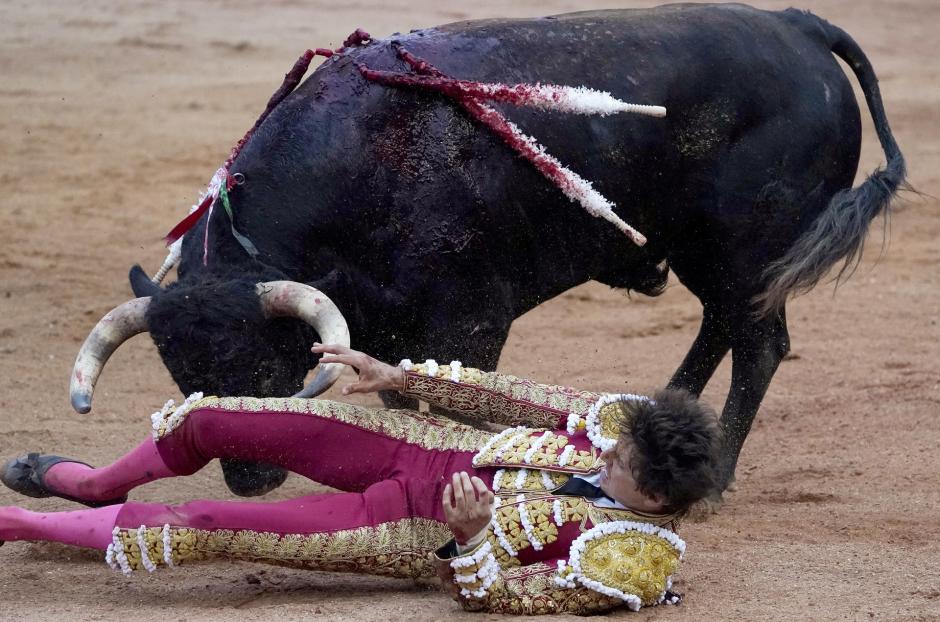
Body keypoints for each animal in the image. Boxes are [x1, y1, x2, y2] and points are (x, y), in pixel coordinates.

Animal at [86, 4, 904, 500]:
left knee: (759, 343)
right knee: (723, 328)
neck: (361, 168)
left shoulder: (471, 318)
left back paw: (714, 476)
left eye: (262, 370)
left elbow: (460, 396)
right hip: (709, 254)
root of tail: (797, 25)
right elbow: (403, 395)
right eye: (181, 374)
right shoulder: (392, 326)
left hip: (747, 250)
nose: (248, 480)